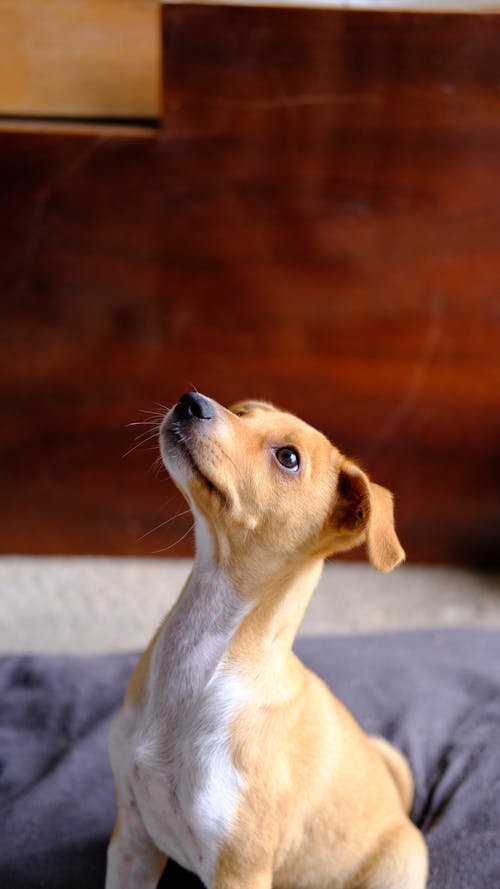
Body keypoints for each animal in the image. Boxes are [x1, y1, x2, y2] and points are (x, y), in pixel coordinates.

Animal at [105, 392, 426, 888]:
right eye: (243, 414)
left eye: (288, 459)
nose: (191, 401)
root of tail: (401, 810)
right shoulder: (131, 843)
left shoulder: (240, 870)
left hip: (396, 870)